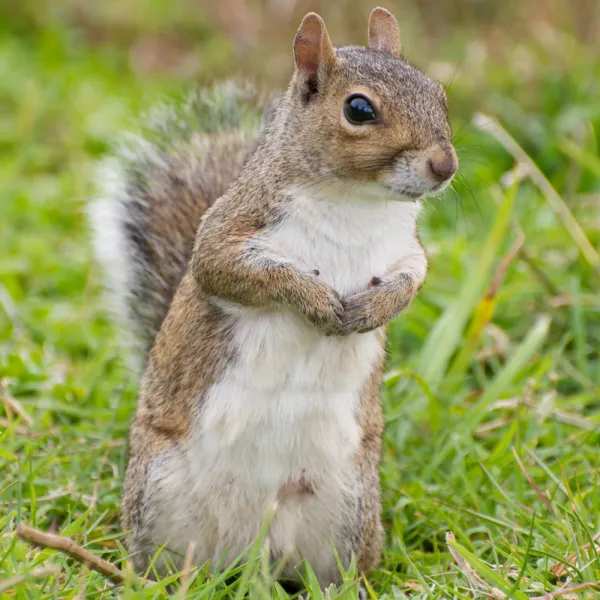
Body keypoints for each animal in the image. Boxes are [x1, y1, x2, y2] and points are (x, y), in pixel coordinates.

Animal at [89, 7, 458, 588]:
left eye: (439, 94)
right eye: (359, 109)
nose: (445, 166)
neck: (355, 203)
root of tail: (251, 551)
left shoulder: (407, 253)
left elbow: (410, 285)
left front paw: (369, 311)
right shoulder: (230, 232)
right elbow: (234, 272)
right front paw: (316, 300)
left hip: (348, 509)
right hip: (158, 495)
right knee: (165, 563)